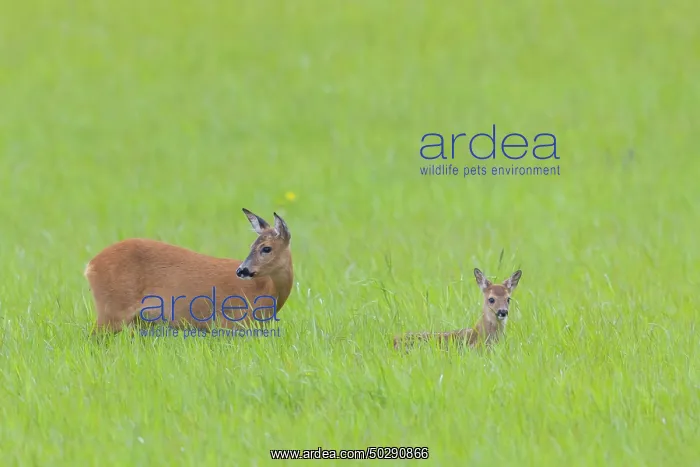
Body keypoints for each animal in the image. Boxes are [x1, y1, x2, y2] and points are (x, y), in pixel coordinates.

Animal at [84, 208, 293, 335]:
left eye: (266, 248)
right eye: (252, 246)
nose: (242, 270)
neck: (266, 291)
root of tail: (90, 266)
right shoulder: (231, 323)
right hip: (111, 310)